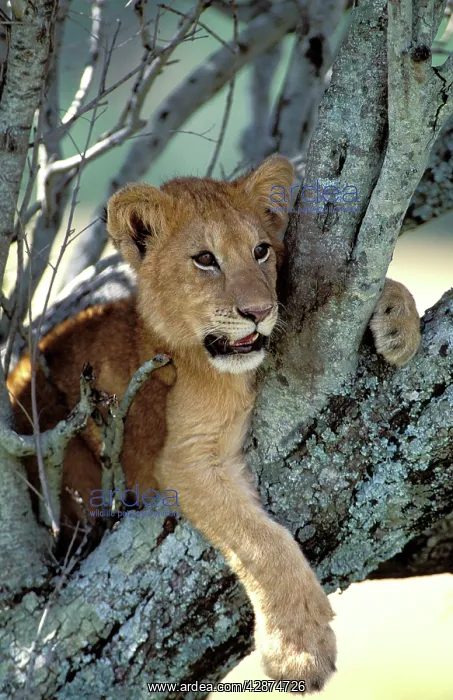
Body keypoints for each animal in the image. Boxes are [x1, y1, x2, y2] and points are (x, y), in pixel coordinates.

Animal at [7, 155, 421, 692]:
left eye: (261, 250)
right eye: (205, 259)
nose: (259, 312)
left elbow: (354, 288)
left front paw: (398, 324)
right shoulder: (185, 458)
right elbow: (263, 543)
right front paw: (300, 649)